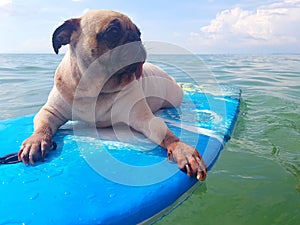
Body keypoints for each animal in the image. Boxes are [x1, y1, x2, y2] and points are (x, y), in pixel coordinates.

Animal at [18, 9, 206, 181]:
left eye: (139, 33)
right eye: (113, 31)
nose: (136, 38)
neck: (95, 89)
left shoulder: (144, 119)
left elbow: (166, 135)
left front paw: (182, 149)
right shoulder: (50, 112)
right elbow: (43, 126)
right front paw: (36, 141)